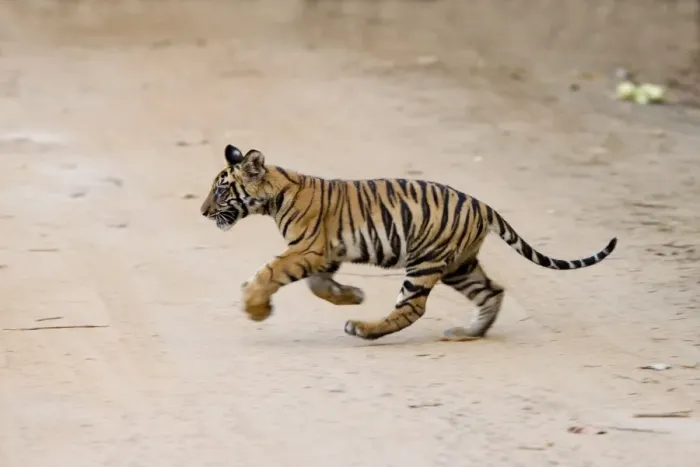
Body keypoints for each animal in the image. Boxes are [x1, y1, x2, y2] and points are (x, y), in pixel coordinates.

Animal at [200, 144, 617, 341]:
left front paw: (255, 308)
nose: (202, 212)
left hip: (425, 263)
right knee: (492, 291)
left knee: (412, 308)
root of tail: (482, 205)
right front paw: (353, 294)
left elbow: (269, 272)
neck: (275, 194)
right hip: (459, 265)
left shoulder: (307, 249)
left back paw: (363, 329)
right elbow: (319, 285)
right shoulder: (325, 253)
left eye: (221, 190)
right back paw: (467, 333)